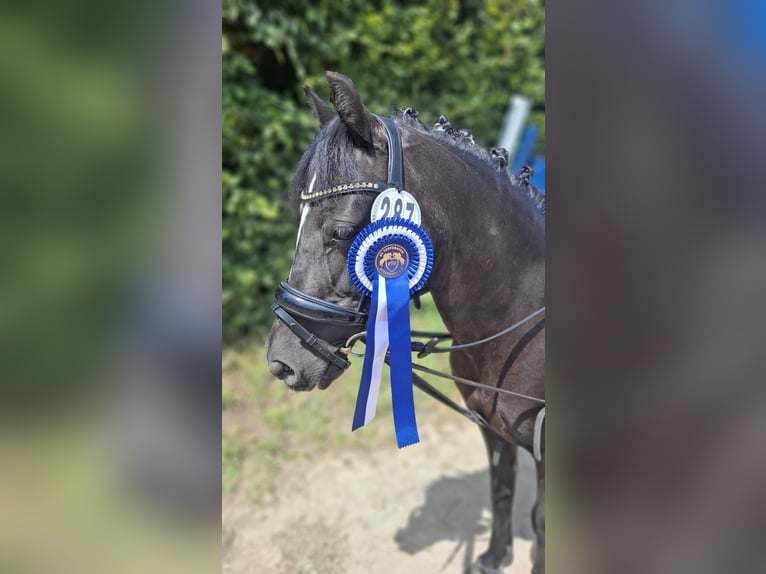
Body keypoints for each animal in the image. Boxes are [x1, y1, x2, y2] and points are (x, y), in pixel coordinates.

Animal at [265, 71, 545, 574]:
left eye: (340, 231)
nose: (282, 362)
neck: (515, 320)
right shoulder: (492, 428)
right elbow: (501, 487)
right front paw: (493, 558)